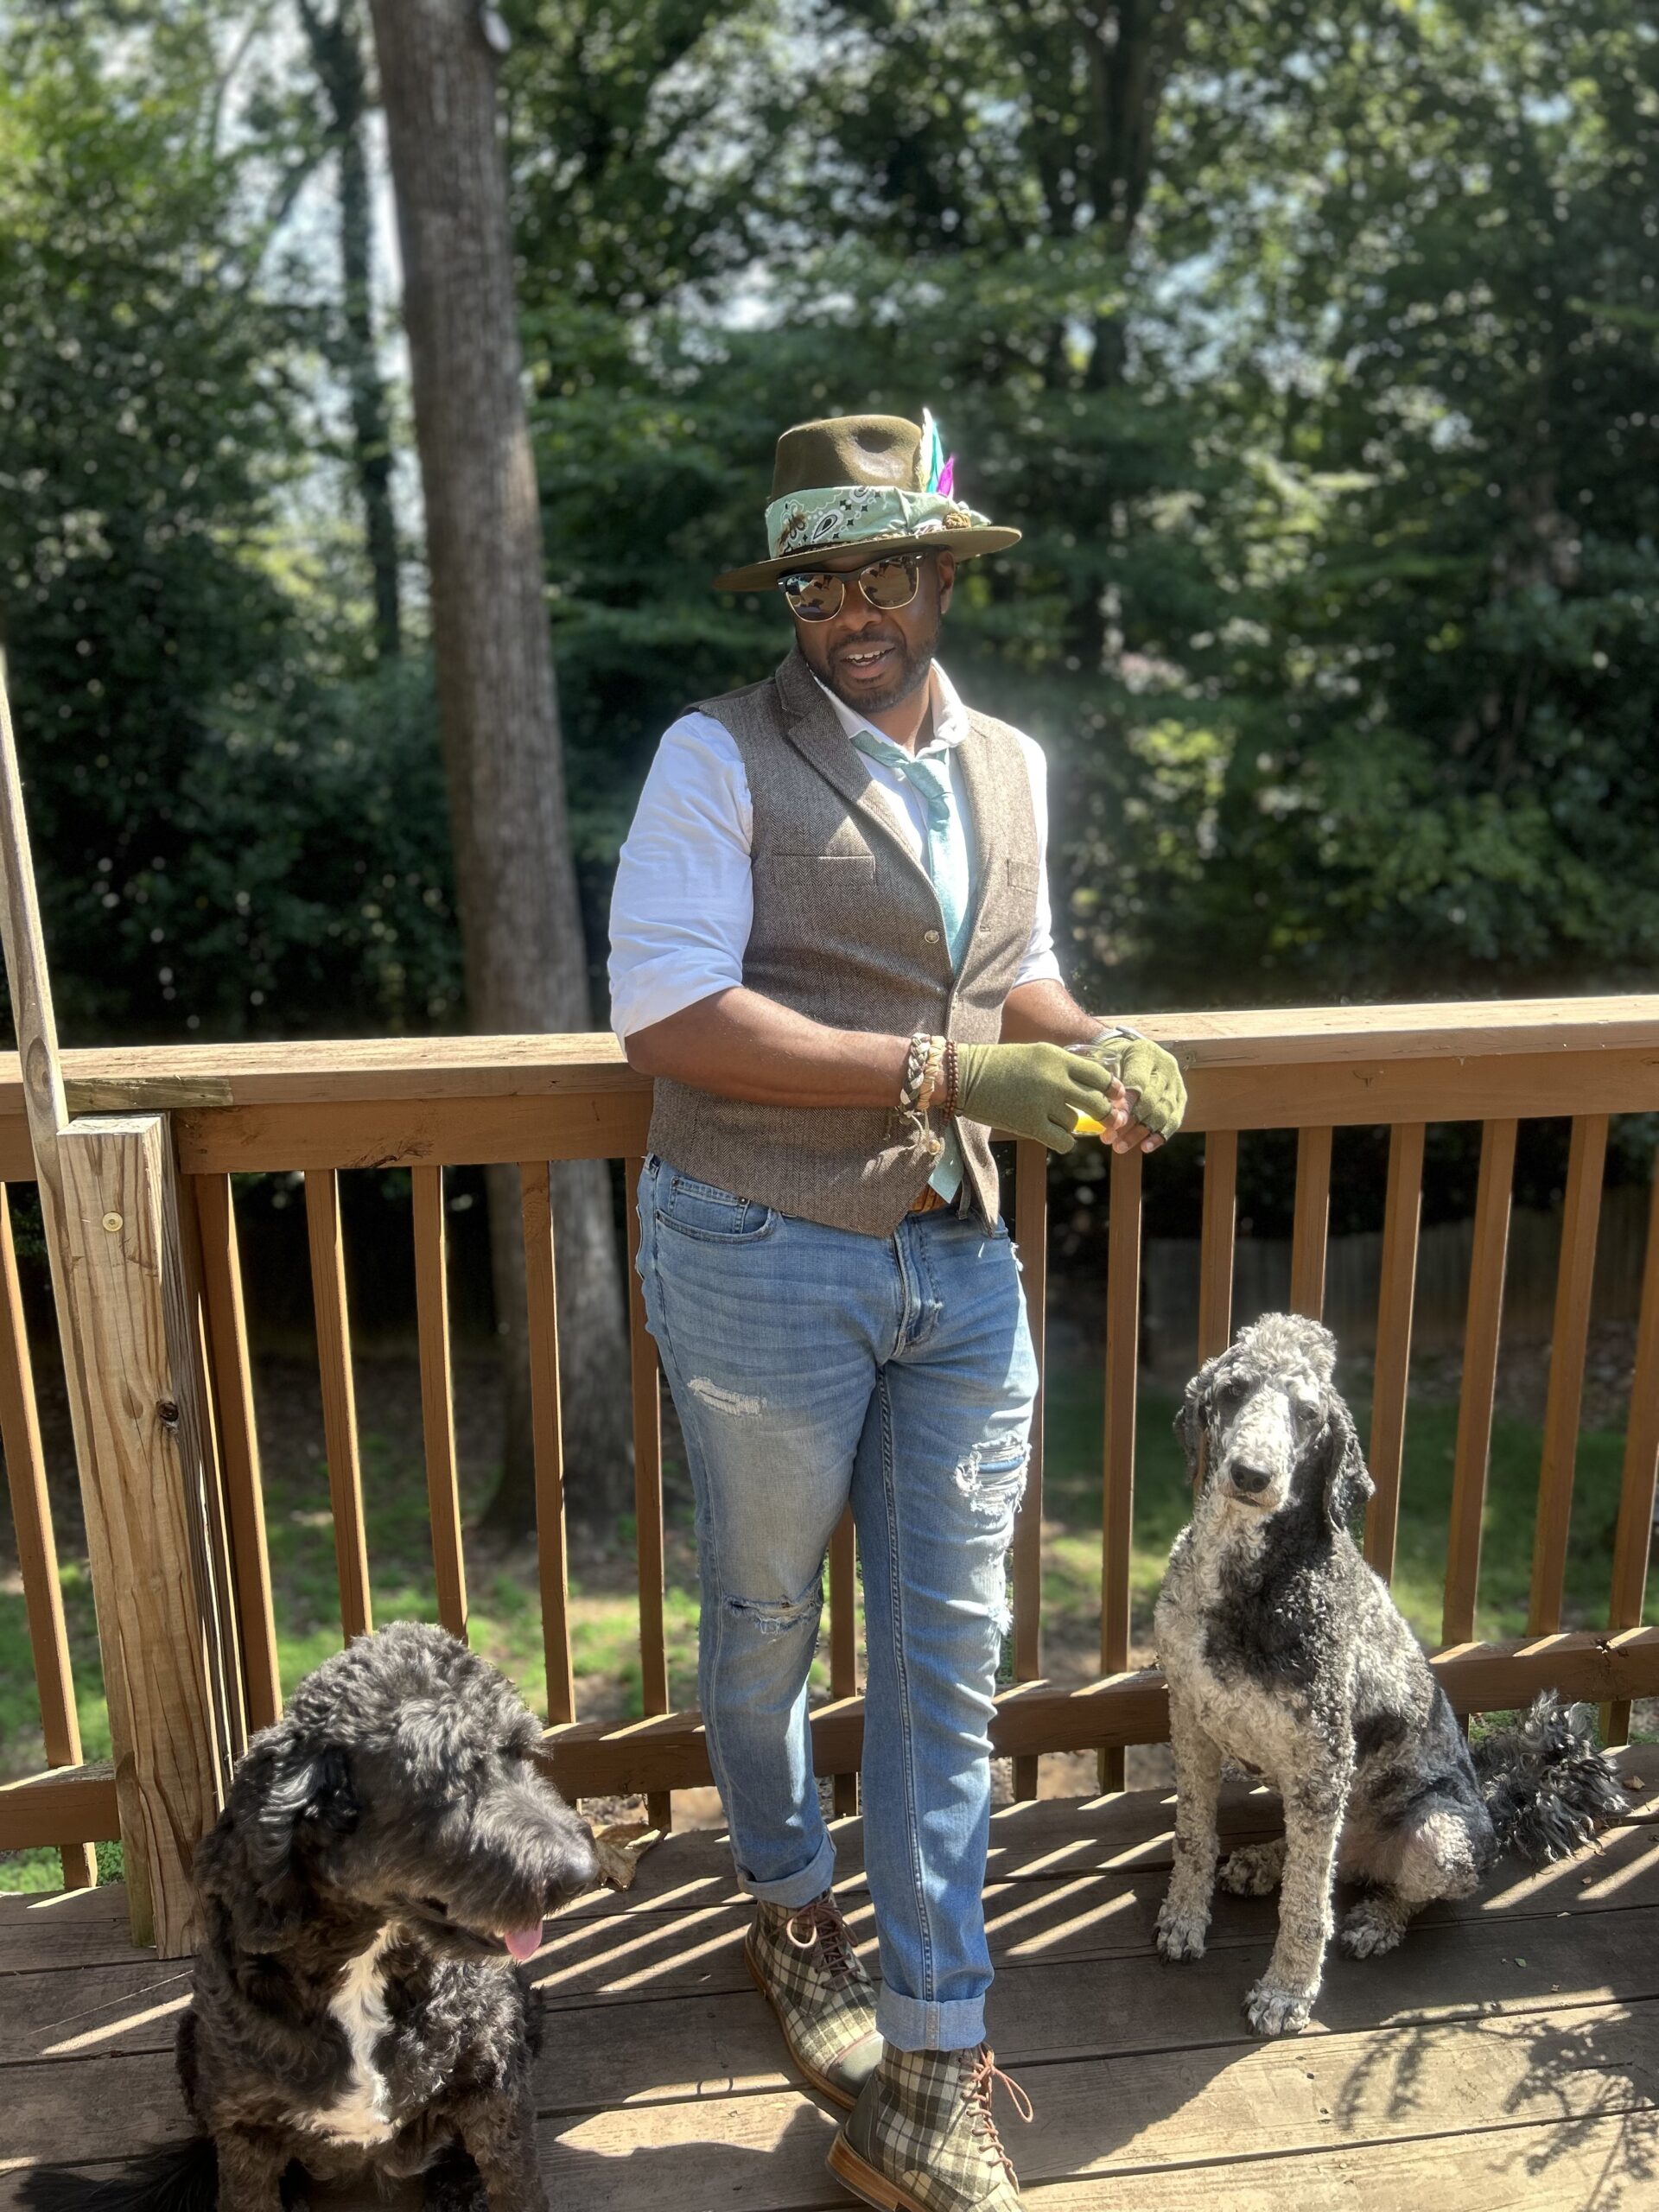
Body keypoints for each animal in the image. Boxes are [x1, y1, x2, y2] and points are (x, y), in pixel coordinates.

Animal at [34, 1622, 596, 2212]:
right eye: (448, 1781)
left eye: (520, 1753)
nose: (582, 1871)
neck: (364, 1966)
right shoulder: (244, 2131)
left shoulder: (494, 2085)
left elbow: (517, 2184)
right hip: (190, 2042)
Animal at [1153, 1312, 1626, 2038]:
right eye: (1232, 1391)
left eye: (1308, 1413)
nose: (1252, 1474)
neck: (1247, 1577)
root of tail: (1492, 1807)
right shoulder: (1192, 1721)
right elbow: (1192, 1837)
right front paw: (1184, 1917)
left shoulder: (1323, 1754)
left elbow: (1305, 1908)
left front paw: (1287, 1991)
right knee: (1319, 1859)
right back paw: (1264, 1861)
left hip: (1434, 1834)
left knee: (1393, 1888)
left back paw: (1377, 1920)